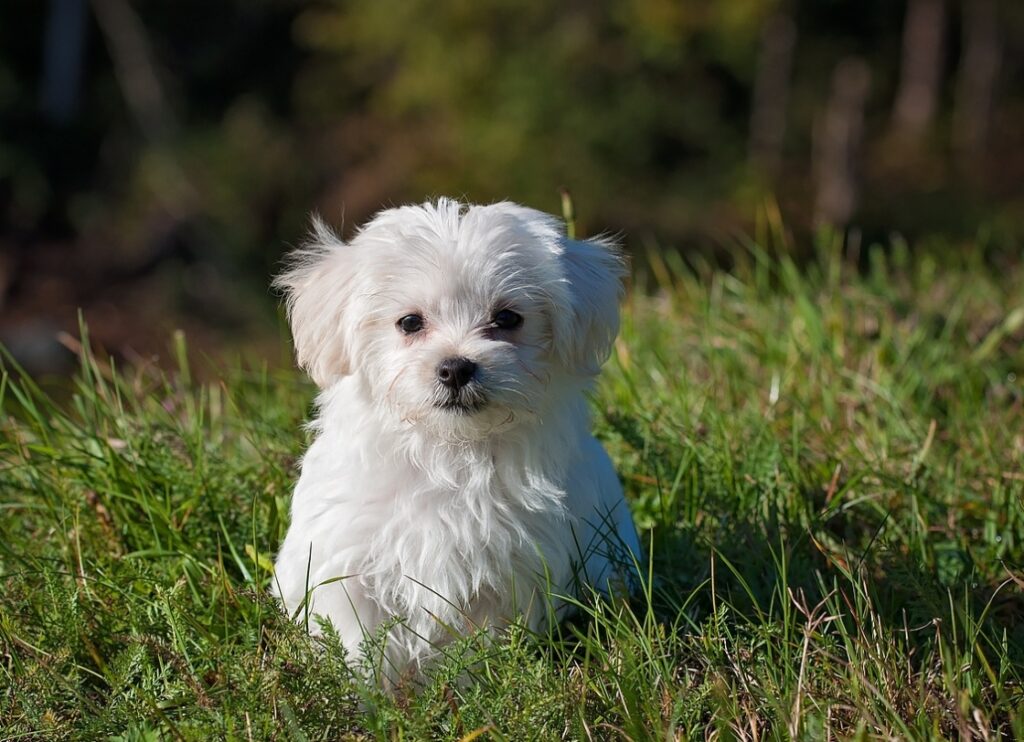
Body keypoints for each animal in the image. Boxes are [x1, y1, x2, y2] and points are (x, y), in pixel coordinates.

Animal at [272, 198, 638, 683]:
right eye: (409, 322)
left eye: (507, 318)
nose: (455, 367)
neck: (449, 452)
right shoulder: (347, 563)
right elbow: (359, 641)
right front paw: (367, 695)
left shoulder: (508, 573)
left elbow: (479, 645)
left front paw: (470, 688)